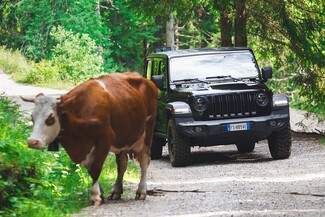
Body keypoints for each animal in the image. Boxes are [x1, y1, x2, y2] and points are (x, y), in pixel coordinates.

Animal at [20, 72, 158, 205]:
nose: (32, 142)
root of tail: (147, 81)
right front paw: (100, 193)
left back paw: (141, 191)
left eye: (51, 119)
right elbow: (90, 169)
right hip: (123, 137)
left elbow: (96, 168)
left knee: (144, 160)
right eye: (32, 117)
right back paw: (116, 191)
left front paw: (96, 196)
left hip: (148, 130)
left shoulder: (105, 139)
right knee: (122, 164)